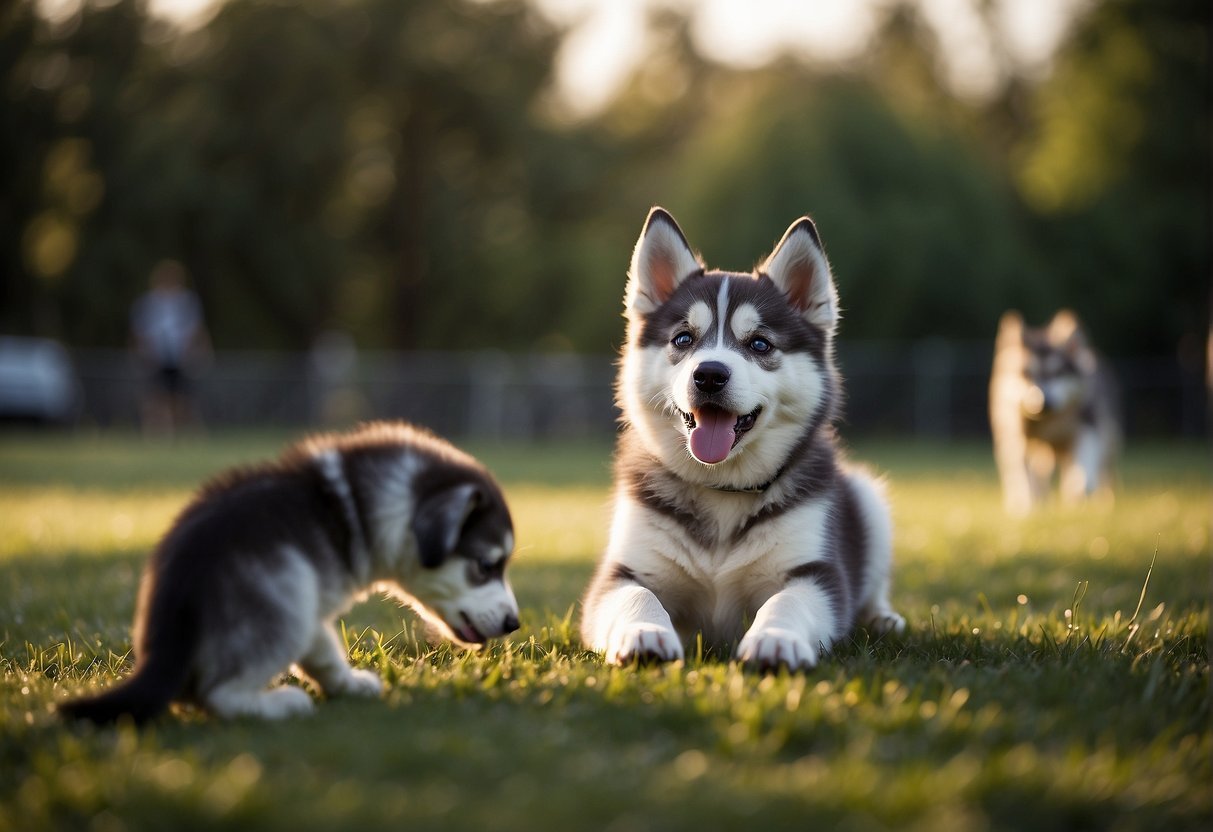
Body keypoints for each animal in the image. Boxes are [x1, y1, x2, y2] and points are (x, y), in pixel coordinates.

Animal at [62, 424, 516, 722]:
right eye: (487, 565)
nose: (515, 622)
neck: (358, 506)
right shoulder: (311, 598)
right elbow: (327, 650)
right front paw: (348, 683)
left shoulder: (311, 612)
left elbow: (321, 653)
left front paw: (348, 686)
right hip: (286, 599)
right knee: (218, 695)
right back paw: (279, 704)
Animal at [582, 207, 907, 669]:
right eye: (683, 338)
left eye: (760, 344)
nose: (709, 374)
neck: (722, 488)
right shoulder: (623, 571)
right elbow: (637, 596)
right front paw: (644, 632)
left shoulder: (816, 573)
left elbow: (788, 601)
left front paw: (775, 638)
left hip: (868, 499)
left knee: (873, 587)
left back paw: (882, 619)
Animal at [989, 310, 1120, 514]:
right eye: (1027, 374)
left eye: (1058, 373)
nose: (1041, 403)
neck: (1052, 420)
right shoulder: (1018, 437)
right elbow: (1024, 475)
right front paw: (1027, 506)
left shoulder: (1088, 427)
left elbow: (1085, 462)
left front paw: (1080, 487)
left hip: (1107, 440)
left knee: (1102, 471)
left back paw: (1098, 500)